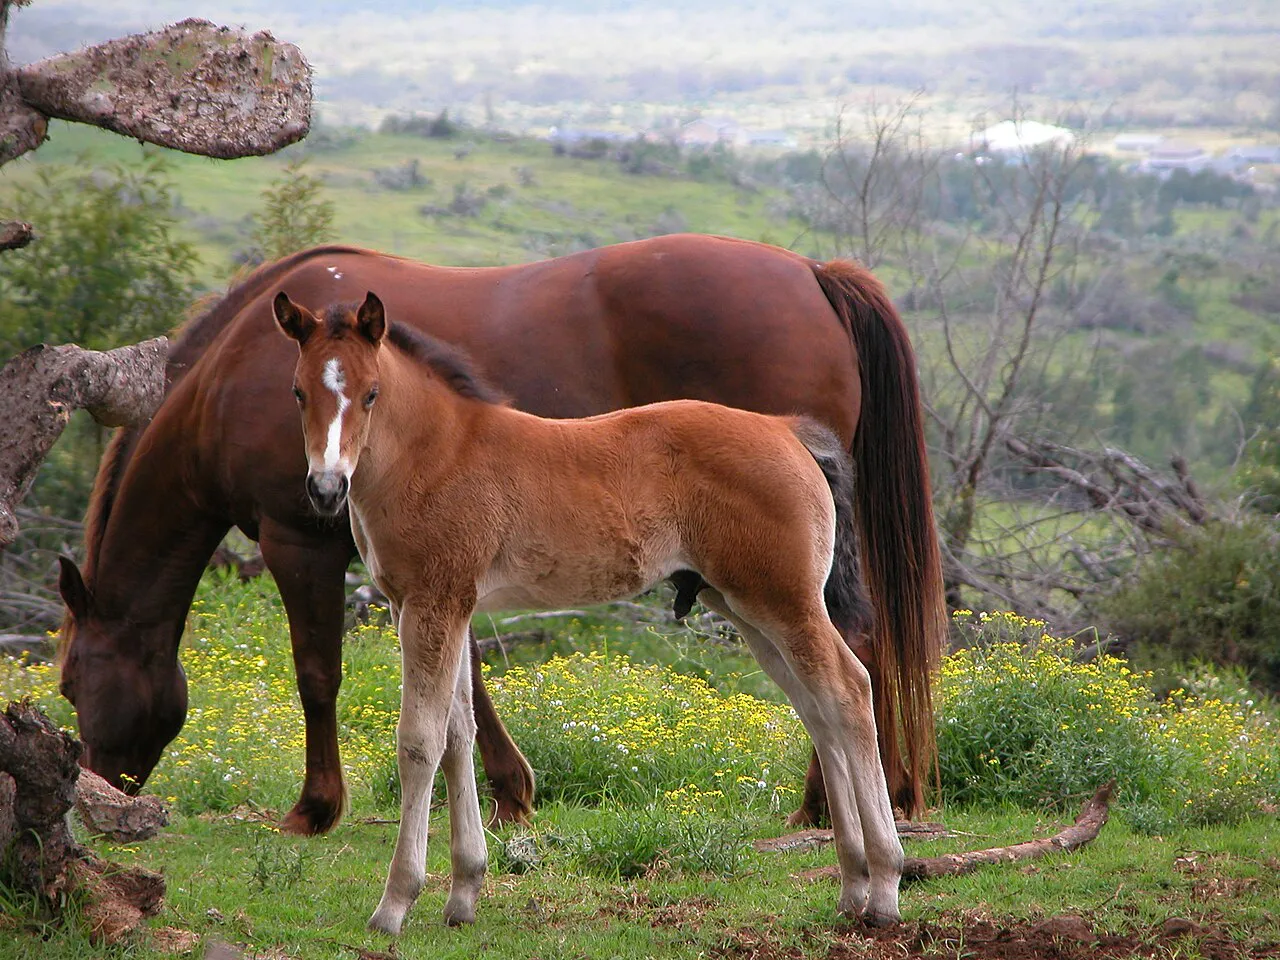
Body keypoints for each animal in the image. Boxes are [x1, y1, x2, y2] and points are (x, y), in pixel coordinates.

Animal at [56, 234, 944, 837]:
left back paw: (824, 806)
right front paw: (512, 790)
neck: (228, 381)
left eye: (70, 684)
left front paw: (316, 807)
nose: (90, 795)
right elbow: (467, 674)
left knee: (847, 651)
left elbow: (318, 675)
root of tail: (813, 275)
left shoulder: (299, 541)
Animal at [276, 290, 905, 931]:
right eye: (299, 391)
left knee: (849, 690)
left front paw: (396, 902)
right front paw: (464, 893)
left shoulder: (434, 601)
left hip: (786, 603)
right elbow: (458, 736)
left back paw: (884, 885)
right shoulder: (442, 606)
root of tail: (786, 429)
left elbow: (419, 742)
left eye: (371, 392)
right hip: (746, 610)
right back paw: (852, 883)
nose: (325, 488)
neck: (437, 453)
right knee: (817, 710)